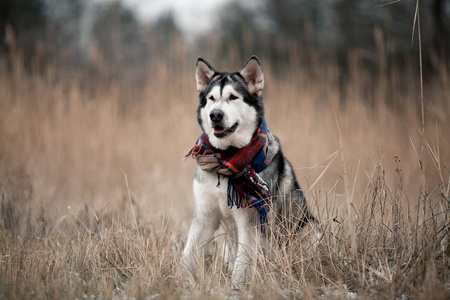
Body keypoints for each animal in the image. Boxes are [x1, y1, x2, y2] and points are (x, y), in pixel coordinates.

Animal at [183, 55, 316, 286]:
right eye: (211, 98)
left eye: (233, 97)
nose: (215, 115)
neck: (225, 160)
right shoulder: (205, 215)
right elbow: (187, 254)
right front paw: (175, 281)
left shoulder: (251, 221)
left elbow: (242, 263)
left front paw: (236, 287)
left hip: (310, 226)